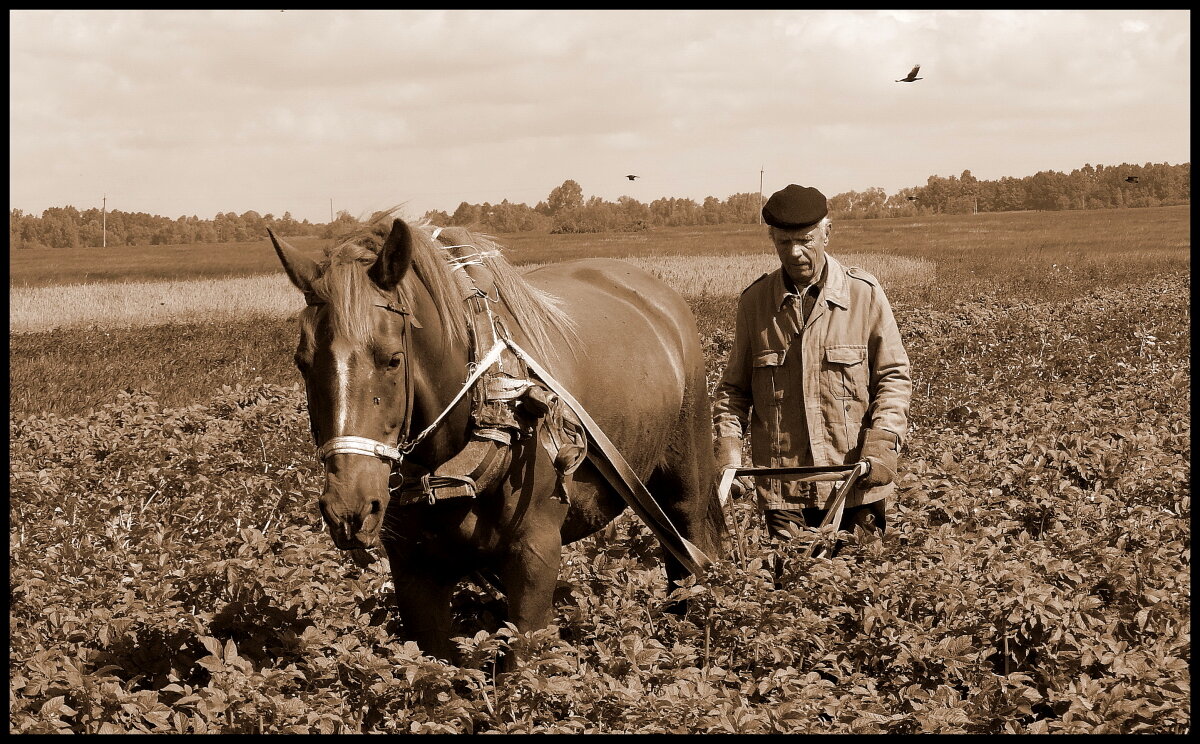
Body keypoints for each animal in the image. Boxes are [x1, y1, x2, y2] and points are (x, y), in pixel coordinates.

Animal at [270, 212, 720, 657]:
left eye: (393, 359)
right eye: (302, 362)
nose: (349, 510)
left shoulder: (535, 553)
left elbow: (522, 661)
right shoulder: (413, 567)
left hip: (685, 478)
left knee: (685, 563)